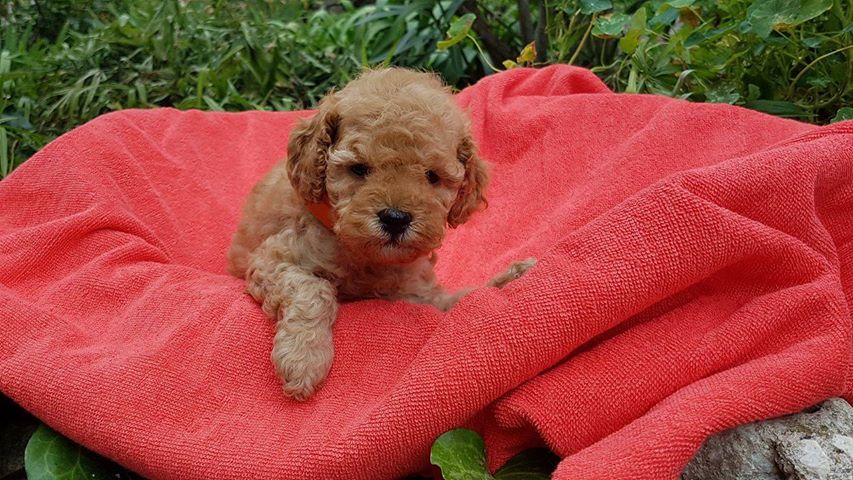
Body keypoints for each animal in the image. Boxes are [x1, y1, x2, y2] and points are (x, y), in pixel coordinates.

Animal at [226, 66, 532, 398]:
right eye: (359, 169)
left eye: (431, 176)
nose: (395, 219)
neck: (366, 256)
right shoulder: (273, 259)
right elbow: (313, 290)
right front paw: (303, 359)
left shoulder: (414, 292)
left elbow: (454, 303)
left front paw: (509, 279)